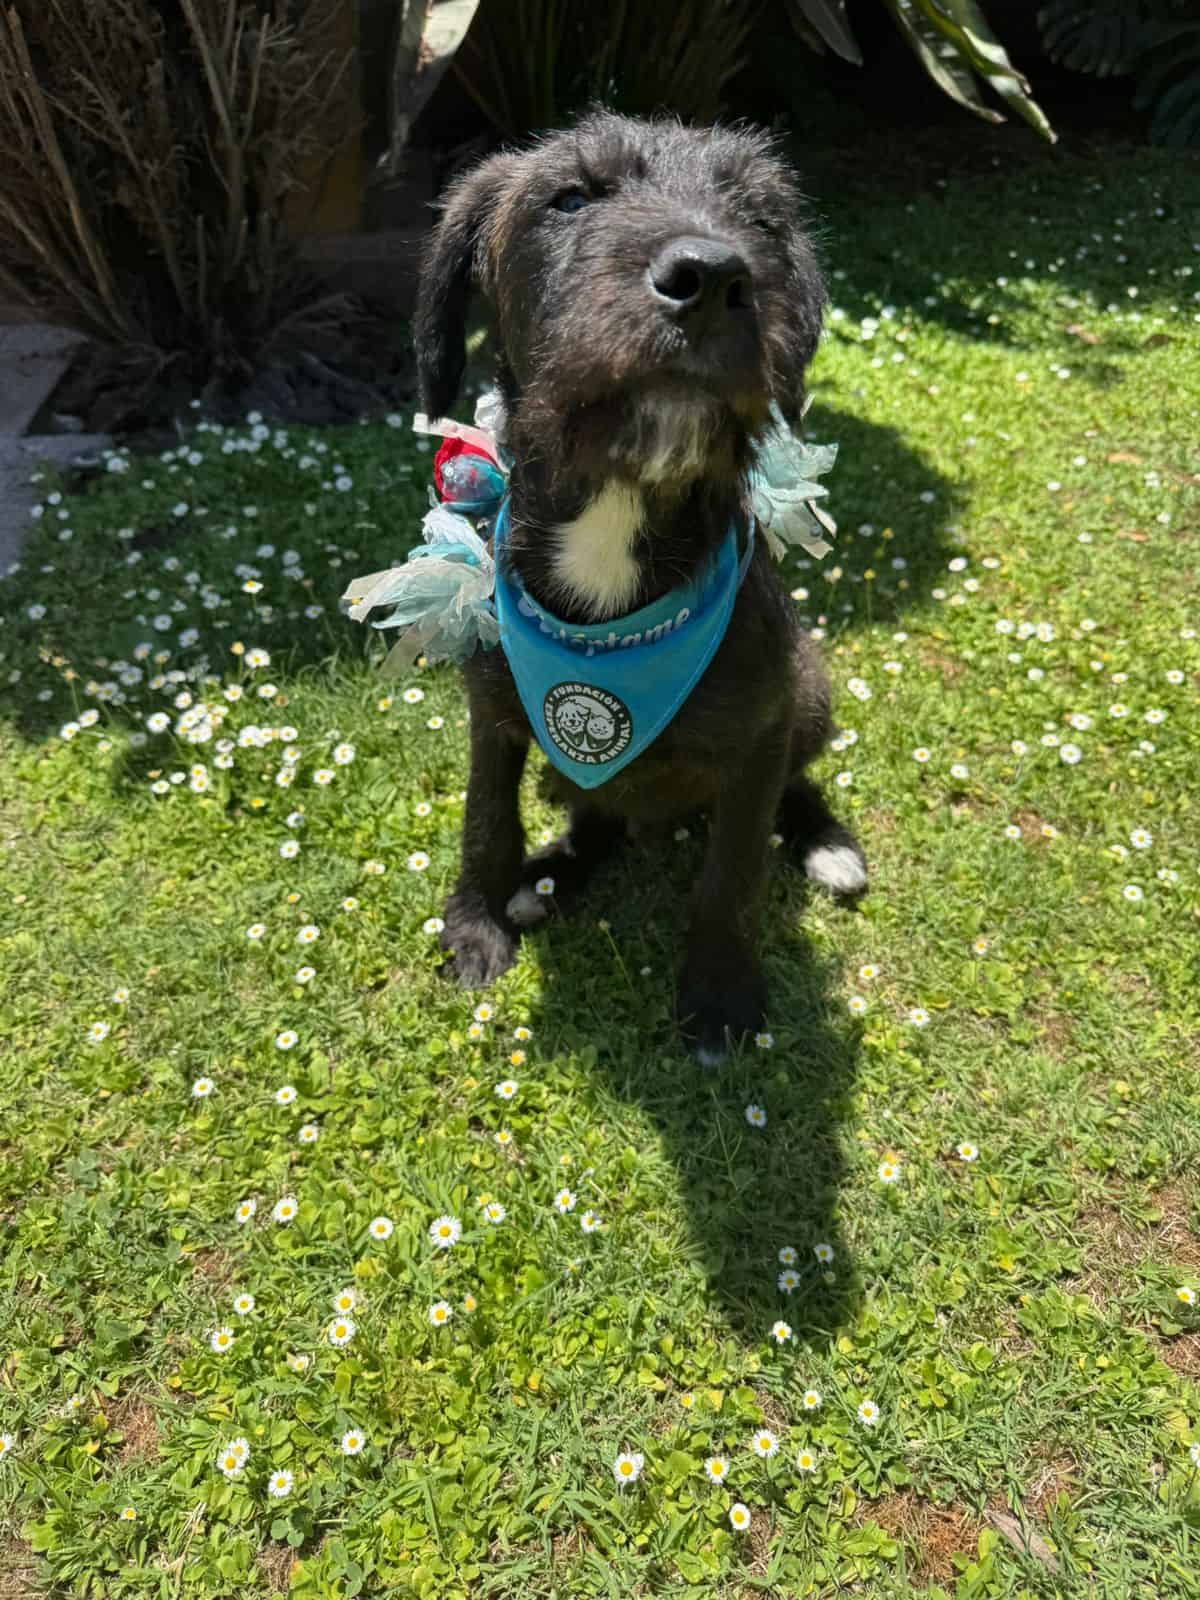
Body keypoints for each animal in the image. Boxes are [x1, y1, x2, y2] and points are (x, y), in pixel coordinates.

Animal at [412, 112, 864, 1062]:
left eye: (761, 221)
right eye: (570, 198)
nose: (714, 277)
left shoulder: (758, 736)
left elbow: (732, 873)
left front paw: (722, 995)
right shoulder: (493, 713)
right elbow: (485, 816)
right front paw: (475, 923)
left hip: (807, 690)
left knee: (792, 785)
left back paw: (827, 843)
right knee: (596, 816)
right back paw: (547, 876)